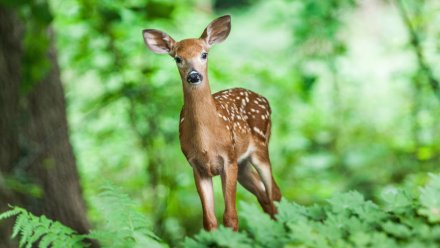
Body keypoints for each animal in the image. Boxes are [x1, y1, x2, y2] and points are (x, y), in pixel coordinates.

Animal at [144, 15, 282, 232]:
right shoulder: (197, 166)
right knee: (264, 196)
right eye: (177, 58)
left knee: (275, 192)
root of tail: (264, 99)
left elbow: (231, 217)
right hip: (243, 164)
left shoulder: (228, 159)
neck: (206, 142)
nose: (193, 76)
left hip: (260, 147)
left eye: (204, 54)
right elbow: (209, 221)